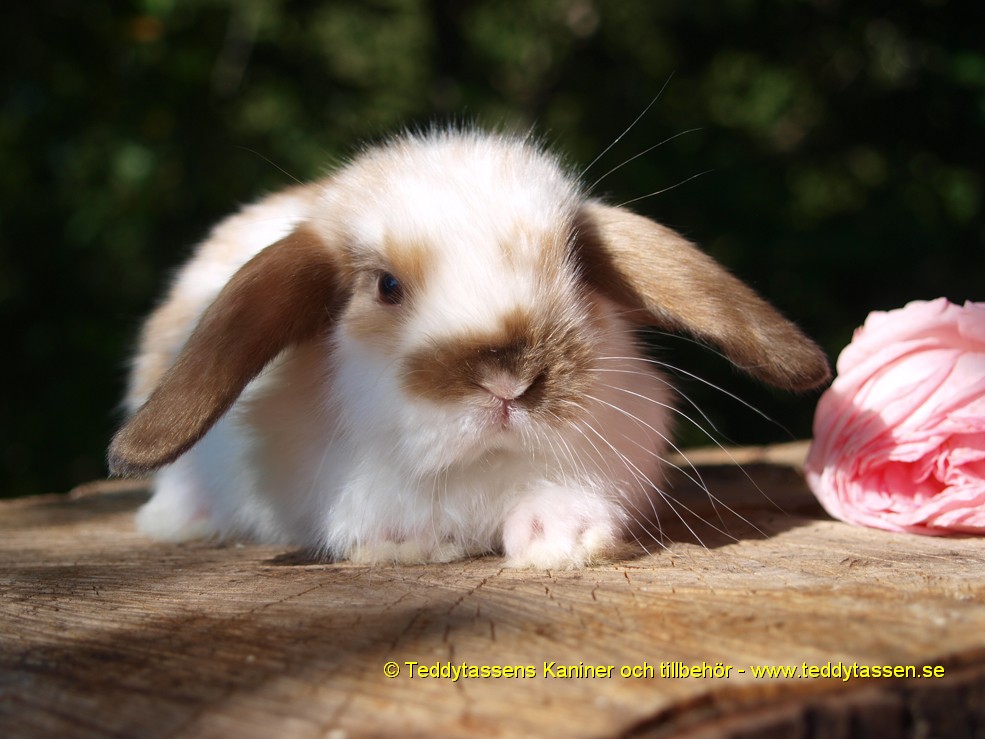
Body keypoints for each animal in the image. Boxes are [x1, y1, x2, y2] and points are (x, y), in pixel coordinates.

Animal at [109, 127, 832, 568]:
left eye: (576, 263)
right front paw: (412, 545)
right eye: (386, 286)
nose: (509, 380)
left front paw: (563, 540)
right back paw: (182, 519)